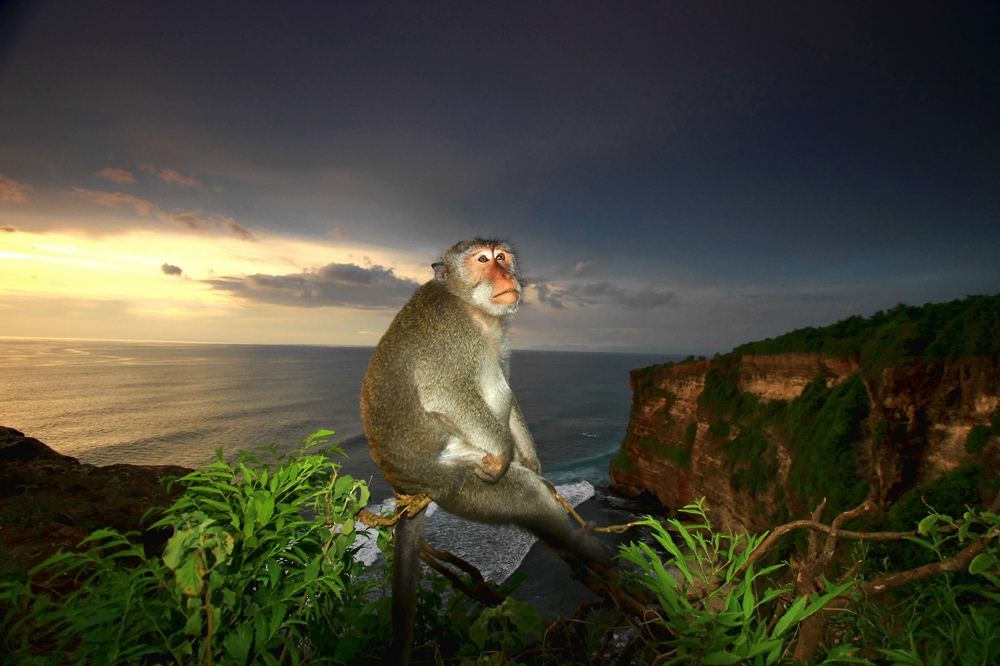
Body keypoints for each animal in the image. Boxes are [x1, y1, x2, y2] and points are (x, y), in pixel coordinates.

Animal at [360, 236, 608, 660]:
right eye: (482, 260)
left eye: (502, 257)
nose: (505, 273)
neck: (472, 309)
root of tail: (408, 489)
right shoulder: (449, 332)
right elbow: (444, 391)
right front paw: (508, 456)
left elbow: (506, 385)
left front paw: (531, 458)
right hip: (459, 481)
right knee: (519, 489)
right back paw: (582, 545)